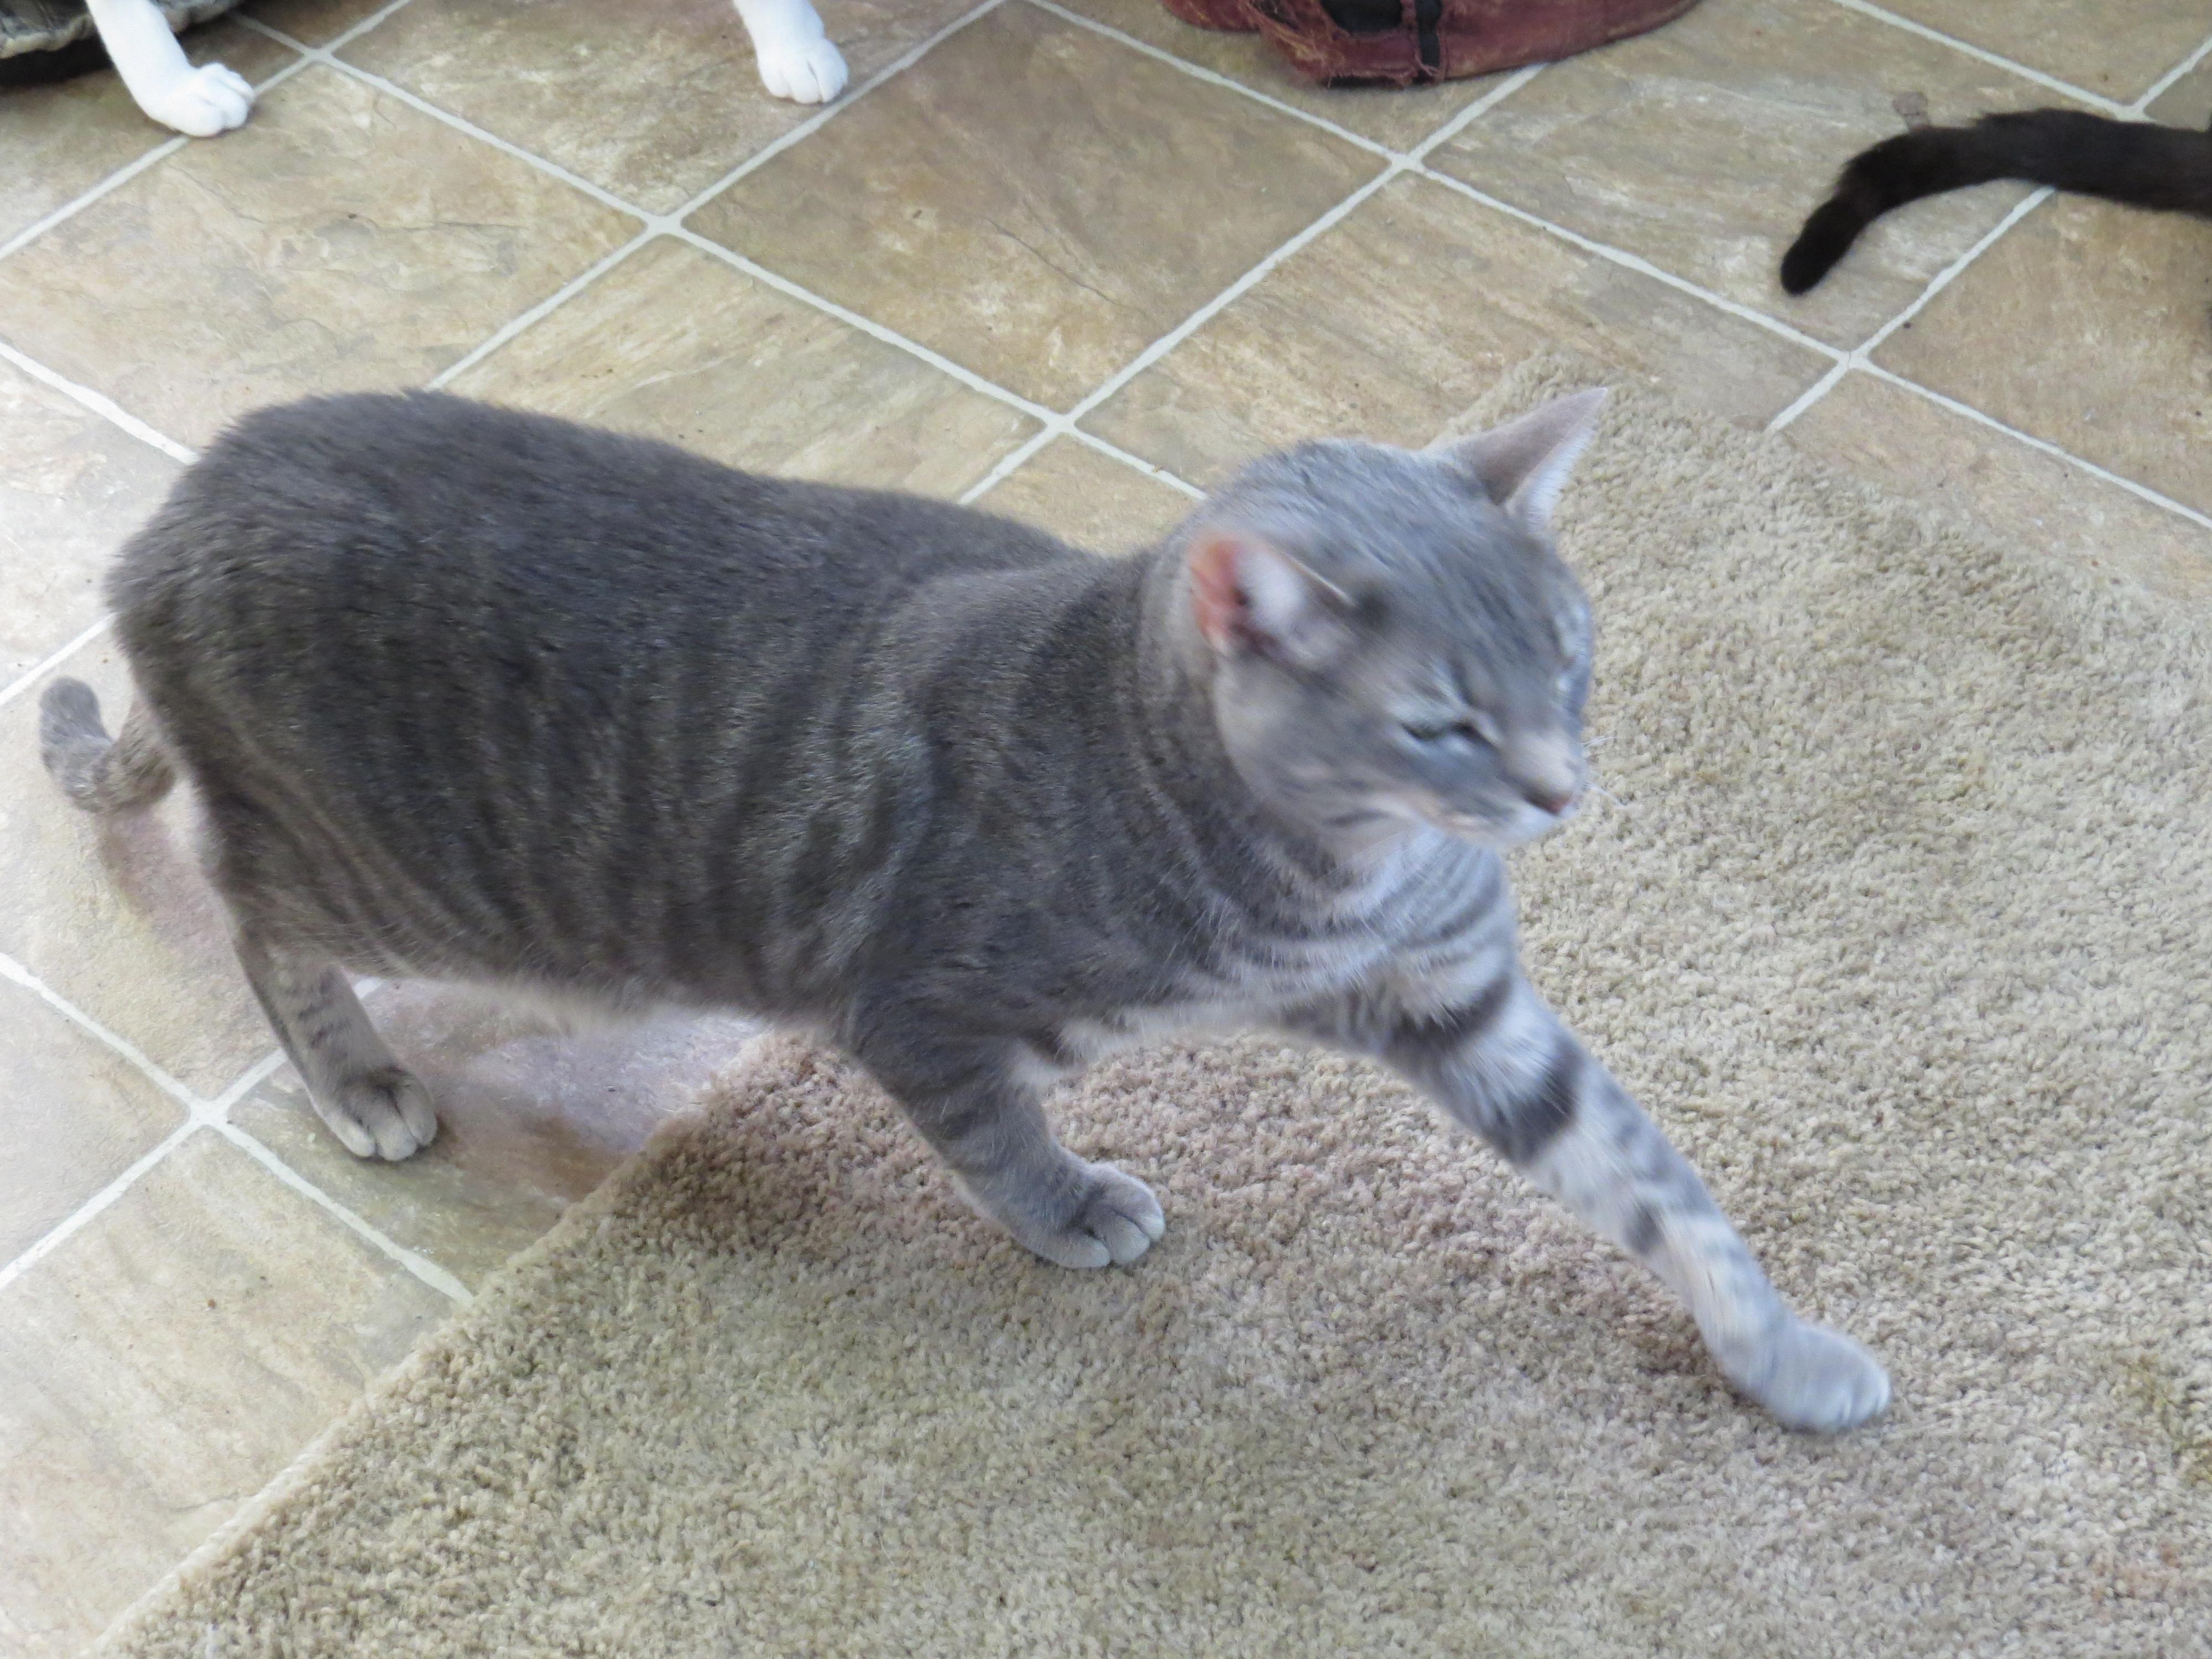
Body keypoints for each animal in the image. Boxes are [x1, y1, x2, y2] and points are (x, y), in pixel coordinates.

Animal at [39, 387, 1885, 1433]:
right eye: (1442, 721)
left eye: (1569, 657)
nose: (1562, 790)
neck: (1346, 872)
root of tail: (168, 517)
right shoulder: (919, 1008)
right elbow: (999, 1137)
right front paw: (1071, 1210)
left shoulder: (1462, 999)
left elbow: (1656, 1183)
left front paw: (1782, 1356)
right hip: (407, 880)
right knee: (249, 905)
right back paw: (353, 1078)